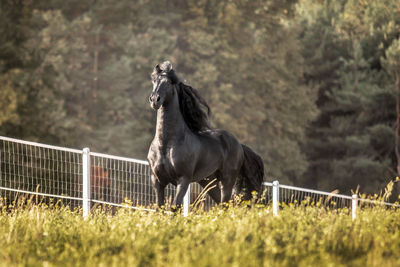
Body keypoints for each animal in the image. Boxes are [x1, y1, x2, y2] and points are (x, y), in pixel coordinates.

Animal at [147, 61, 262, 209]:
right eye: (154, 81)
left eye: (168, 82)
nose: (154, 100)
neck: (166, 144)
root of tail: (239, 145)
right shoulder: (157, 181)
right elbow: (159, 209)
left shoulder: (183, 180)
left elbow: (174, 208)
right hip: (208, 182)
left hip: (227, 180)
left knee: (225, 204)